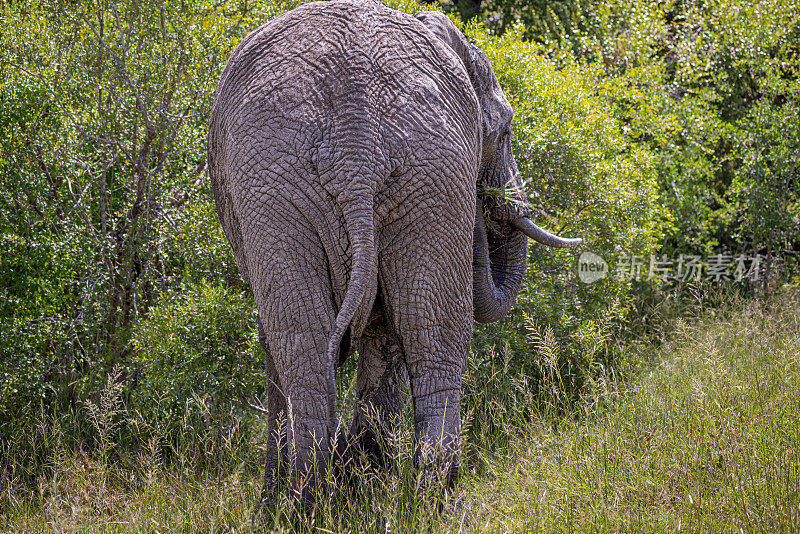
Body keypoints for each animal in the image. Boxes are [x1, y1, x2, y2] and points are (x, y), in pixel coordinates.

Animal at [208, 0, 580, 502]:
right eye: (504, 130)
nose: (484, 205)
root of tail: (356, 144)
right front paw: (353, 485)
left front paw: (354, 486)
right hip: (373, 174)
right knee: (416, 332)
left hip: (370, 175)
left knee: (357, 335)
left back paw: (331, 502)